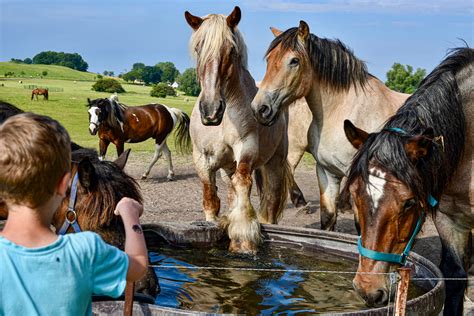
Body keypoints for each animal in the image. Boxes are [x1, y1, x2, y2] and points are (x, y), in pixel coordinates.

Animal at [183, 6, 290, 254]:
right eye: (198, 48)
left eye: (231, 50)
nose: (211, 110)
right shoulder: (202, 159)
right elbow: (211, 199)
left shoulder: (246, 150)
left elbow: (243, 186)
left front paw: (243, 238)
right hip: (226, 169)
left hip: (275, 165)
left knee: (270, 204)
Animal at [250, 21, 410, 231]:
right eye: (269, 59)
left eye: (294, 61)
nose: (260, 108)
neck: (342, 111)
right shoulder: (326, 171)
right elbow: (327, 218)